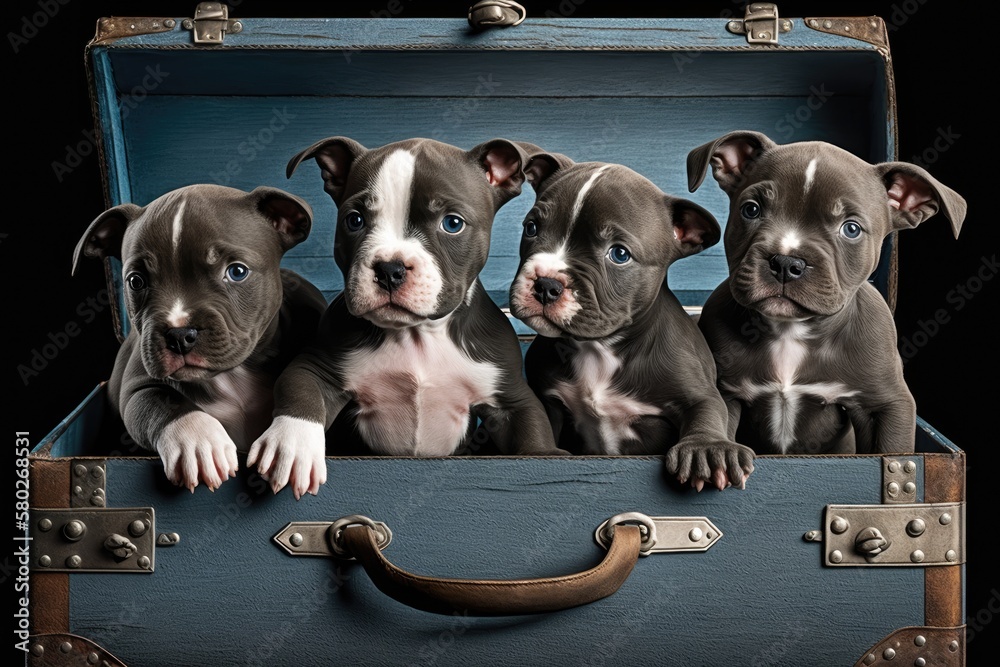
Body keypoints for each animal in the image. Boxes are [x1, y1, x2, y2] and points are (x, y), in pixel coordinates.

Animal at [72, 185, 328, 494]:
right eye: (136, 281)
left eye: (237, 272)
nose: (179, 334)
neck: (233, 375)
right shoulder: (134, 387)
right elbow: (159, 400)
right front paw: (198, 442)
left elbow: (300, 377)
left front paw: (291, 441)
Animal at [512, 154, 752, 494]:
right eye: (531, 228)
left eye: (619, 254)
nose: (546, 283)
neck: (599, 348)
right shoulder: (549, 400)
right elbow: (538, 422)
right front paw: (541, 451)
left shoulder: (698, 391)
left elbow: (708, 409)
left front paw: (708, 448)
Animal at [688, 130, 968, 454]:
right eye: (751, 210)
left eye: (851, 229)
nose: (786, 262)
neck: (791, 331)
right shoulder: (728, 394)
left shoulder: (888, 406)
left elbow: (891, 449)